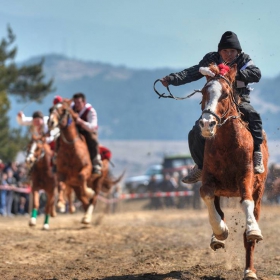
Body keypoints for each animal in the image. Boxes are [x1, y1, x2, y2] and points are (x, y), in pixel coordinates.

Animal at [198, 63, 268, 280]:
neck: (227, 144)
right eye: (203, 92)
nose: (207, 124)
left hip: (259, 193)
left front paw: (253, 229)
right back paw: (217, 237)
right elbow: (206, 195)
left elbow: (246, 201)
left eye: (225, 94)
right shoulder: (209, 179)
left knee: (249, 235)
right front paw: (220, 231)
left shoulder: (245, 177)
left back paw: (250, 271)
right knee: (218, 208)